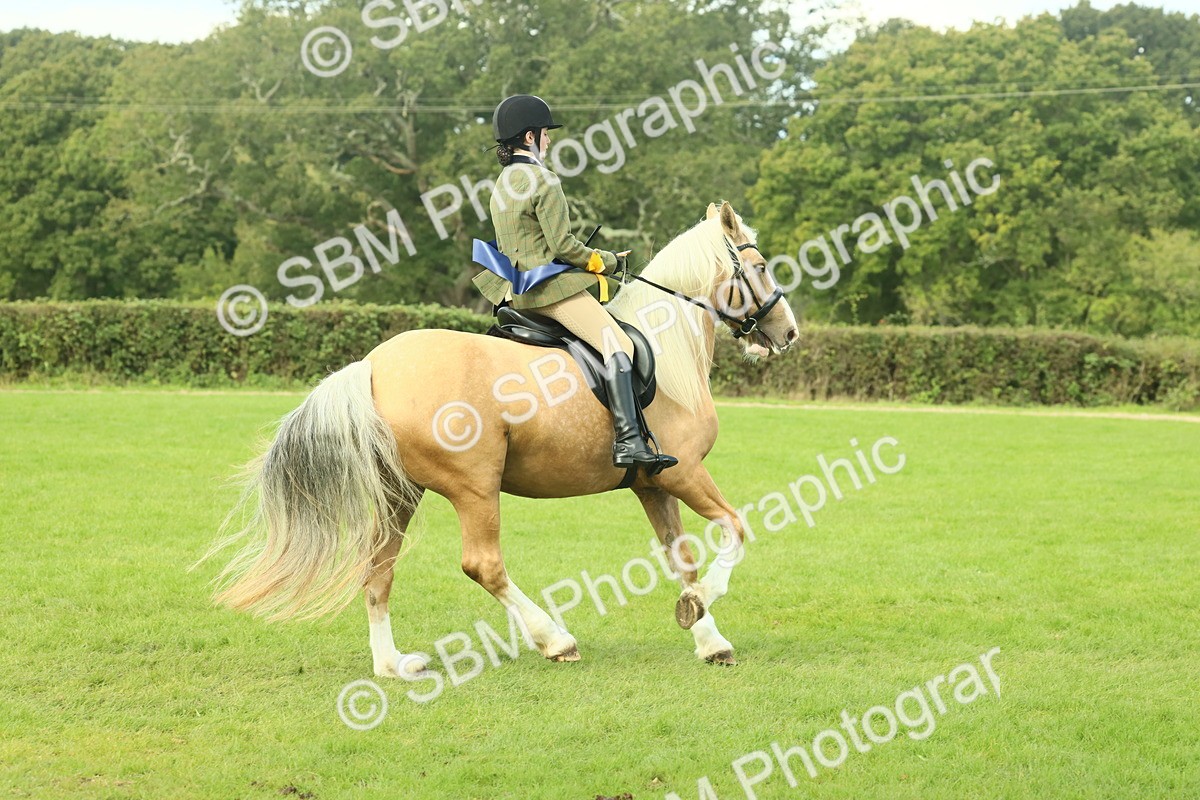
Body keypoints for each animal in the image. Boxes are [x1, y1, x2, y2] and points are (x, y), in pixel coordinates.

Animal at [202, 201, 799, 673]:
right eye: (761, 266)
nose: (787, 332)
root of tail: (372, 366)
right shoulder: (686, 473)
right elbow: (735, 529)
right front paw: (704, 605)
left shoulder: (653, 484)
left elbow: (682, 560)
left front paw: (708, 636)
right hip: (474, 486)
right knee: (482, 565)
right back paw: (555, 640)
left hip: (400, 492)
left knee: (378, 568)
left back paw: (393, 666)